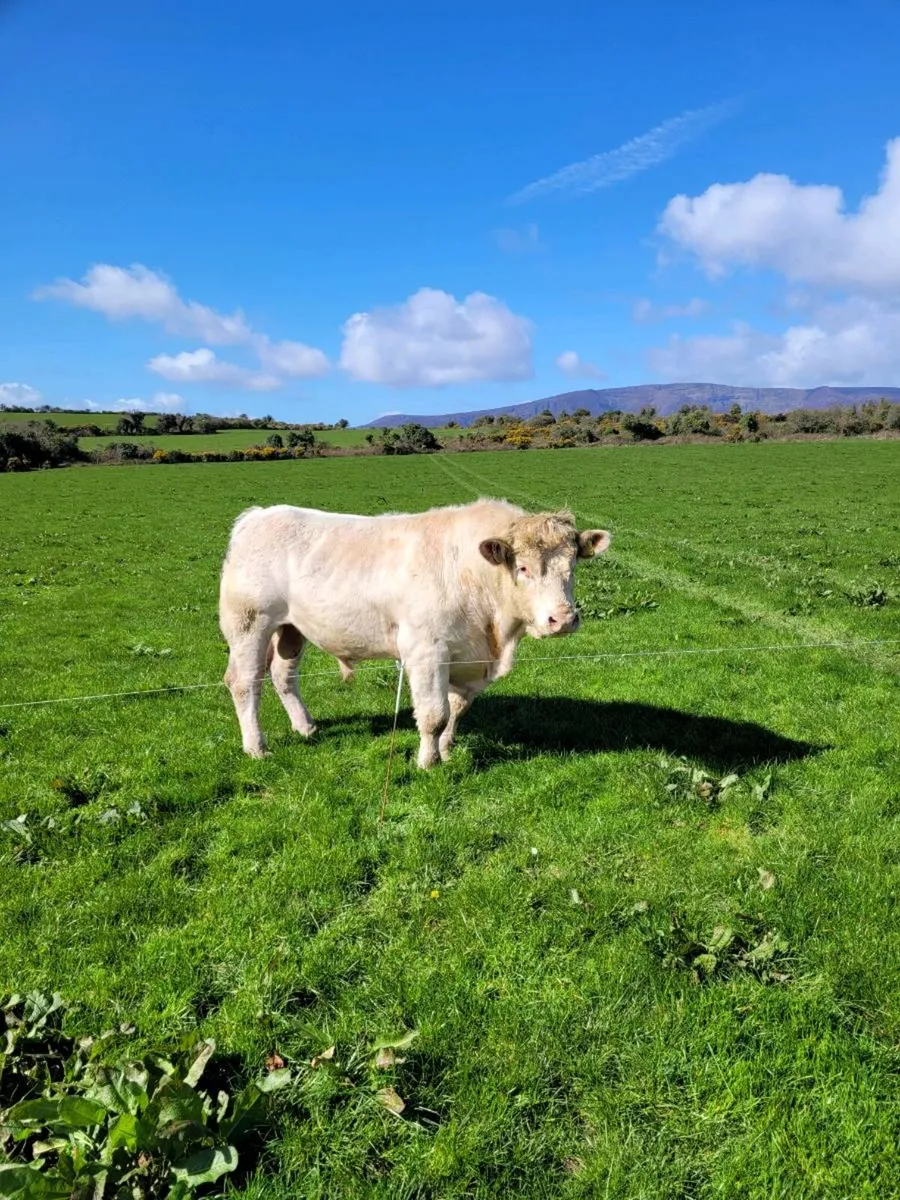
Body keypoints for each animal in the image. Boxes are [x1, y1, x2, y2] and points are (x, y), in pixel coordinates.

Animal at [219, 499, 611, 768]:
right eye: (524, 568)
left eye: (572, 566)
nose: (562, 619)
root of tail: (256, 516)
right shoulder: (425, 651)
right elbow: (434, 714)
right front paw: (427, 762)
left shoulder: (465, 657)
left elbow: (455, 709)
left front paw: (447, 751)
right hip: (249, 623)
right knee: (244, 682)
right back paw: (257, 747)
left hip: (290, 629)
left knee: (283, 675)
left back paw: (305, 728)